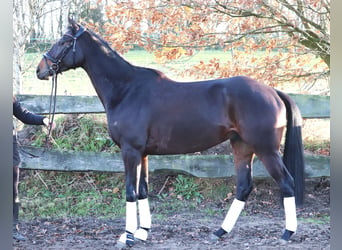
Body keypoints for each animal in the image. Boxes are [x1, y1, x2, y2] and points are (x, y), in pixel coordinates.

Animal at [36, 19, 304, 246]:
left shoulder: (130, 151)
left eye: (63, 41)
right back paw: (219, 232)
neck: (127, 89)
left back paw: (287, 233)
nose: (40, 70)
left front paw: (128, 237)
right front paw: (142, 232)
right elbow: (143, 190)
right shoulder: (142, 154)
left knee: (287, 183)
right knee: (243, 187)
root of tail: (272, 91)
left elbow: (130, 192)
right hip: (241, 146)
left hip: (266, 149)